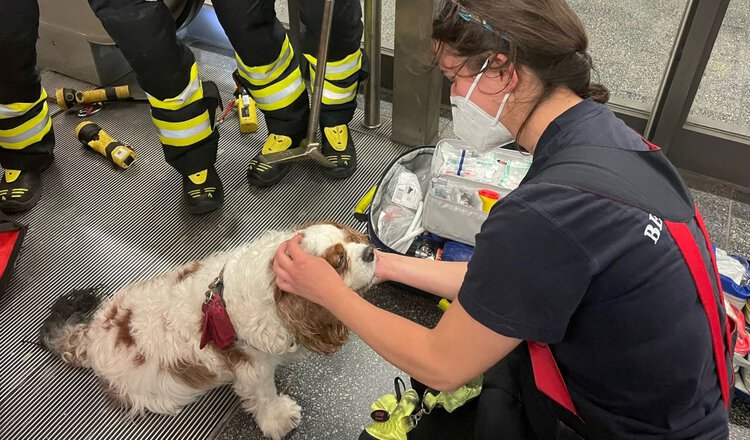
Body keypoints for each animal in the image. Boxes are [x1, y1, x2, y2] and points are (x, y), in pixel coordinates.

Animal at [38, 223, 376, 440]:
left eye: (351, 238)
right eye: (339, 260)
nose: (371, 251)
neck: (273, 284)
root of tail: (89, 336)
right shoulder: (252, 368)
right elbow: (265, 397)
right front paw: (280, 418)